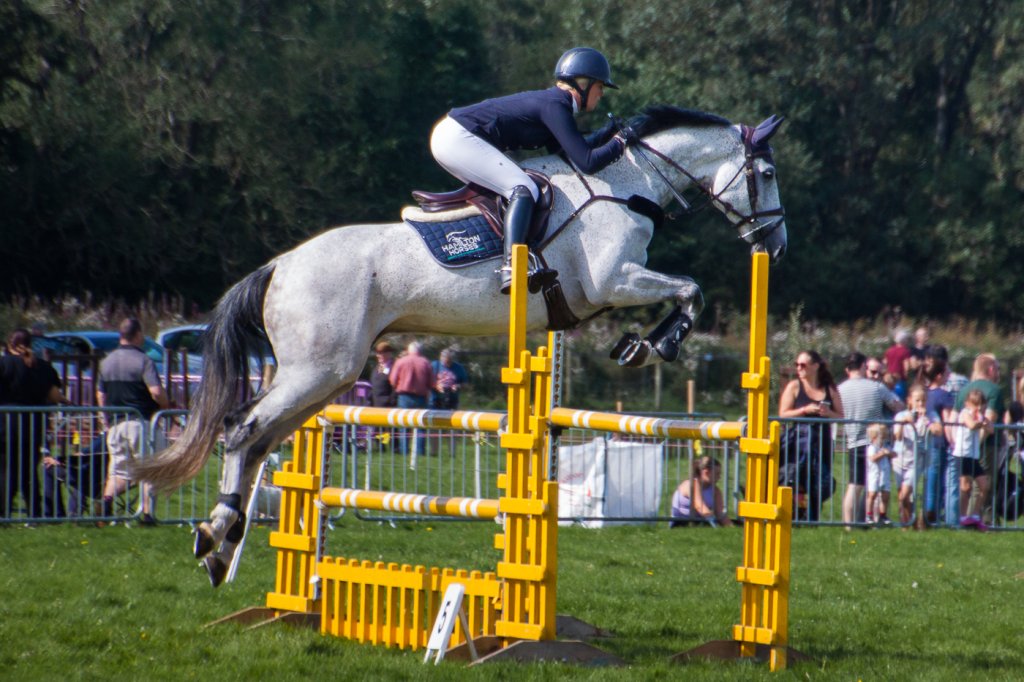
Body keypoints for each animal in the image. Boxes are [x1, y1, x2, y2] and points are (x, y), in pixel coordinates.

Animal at [133, 105, 788, 586]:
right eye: (768, 175)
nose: (775, 244)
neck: (627, 183)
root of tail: (280, 267)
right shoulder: (614, 281)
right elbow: (691, 289)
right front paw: (651, 346)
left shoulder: (602, 295)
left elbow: (684, 292)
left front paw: (641, 345)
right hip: (317, 370)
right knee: (242, 428)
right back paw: (215, 535)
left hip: (329, 377)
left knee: (262, 438)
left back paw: (223, 549)